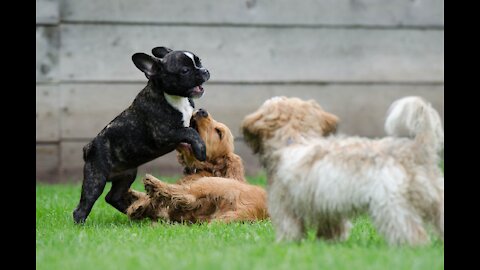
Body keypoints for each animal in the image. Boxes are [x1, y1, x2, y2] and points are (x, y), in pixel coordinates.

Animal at [242, 96, 444, 245]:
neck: (295, 140)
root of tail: (416, 149)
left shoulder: (285, 206)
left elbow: (289, 229)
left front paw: (285, 245)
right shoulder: (328, 208)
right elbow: (332, 228)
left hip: (391, 206)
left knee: (412, 232)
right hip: (436, 200)